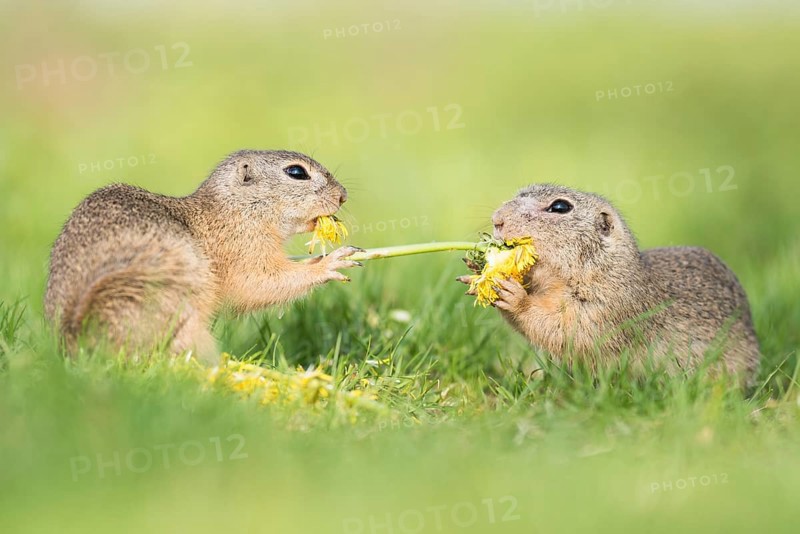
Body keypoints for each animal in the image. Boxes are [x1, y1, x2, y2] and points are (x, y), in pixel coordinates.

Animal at [44, 149, 361, 362]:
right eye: (296, 172)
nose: (343, 195)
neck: (236, 208)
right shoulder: (241, 249)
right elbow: (259, 282)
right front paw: (330, 262)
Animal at [458, 184, 760, 381]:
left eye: (560, 207)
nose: (497, 219)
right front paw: (476, 271)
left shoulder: (609, 307)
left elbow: (570, 331)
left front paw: (514, 295)